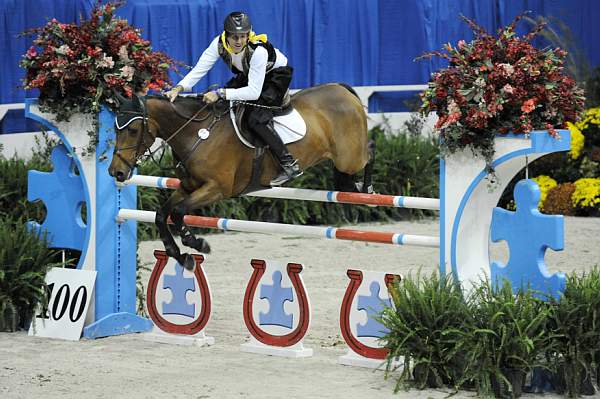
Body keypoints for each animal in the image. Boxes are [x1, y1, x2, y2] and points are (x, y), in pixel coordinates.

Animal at [107, 84, 370, 272]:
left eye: (132, 130)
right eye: (115, 130)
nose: (116, 172)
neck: (196, 134)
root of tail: (340, 88)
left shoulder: (217, 189)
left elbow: (179, 211)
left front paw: (197, 243)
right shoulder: (188, 186)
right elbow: (162, 215)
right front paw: (182, 256)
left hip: (349, 157)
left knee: (370, 153)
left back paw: (367, 189)